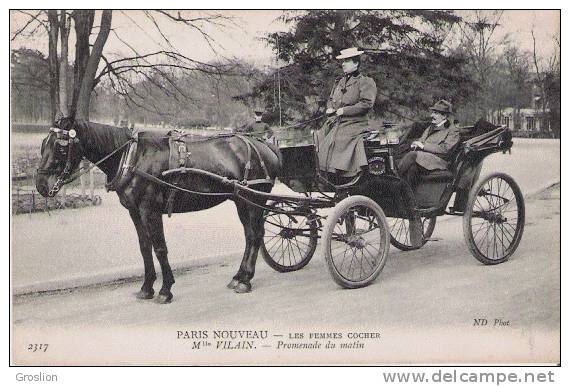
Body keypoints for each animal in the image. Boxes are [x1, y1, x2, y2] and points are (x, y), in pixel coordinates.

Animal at [34, 116, 280, 304]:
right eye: (43, 143)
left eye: (60, 146)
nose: (41, 185)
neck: (133, 157)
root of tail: (265, 146)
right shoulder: (134, 212)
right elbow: (145, 247)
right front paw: (146, 288)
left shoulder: (150, 210)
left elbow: (160, 248)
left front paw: (165, 290)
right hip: (241, 200)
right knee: (250, 235)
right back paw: (239, 276)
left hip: (254, 200)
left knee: (255, 235)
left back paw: (245, 280)